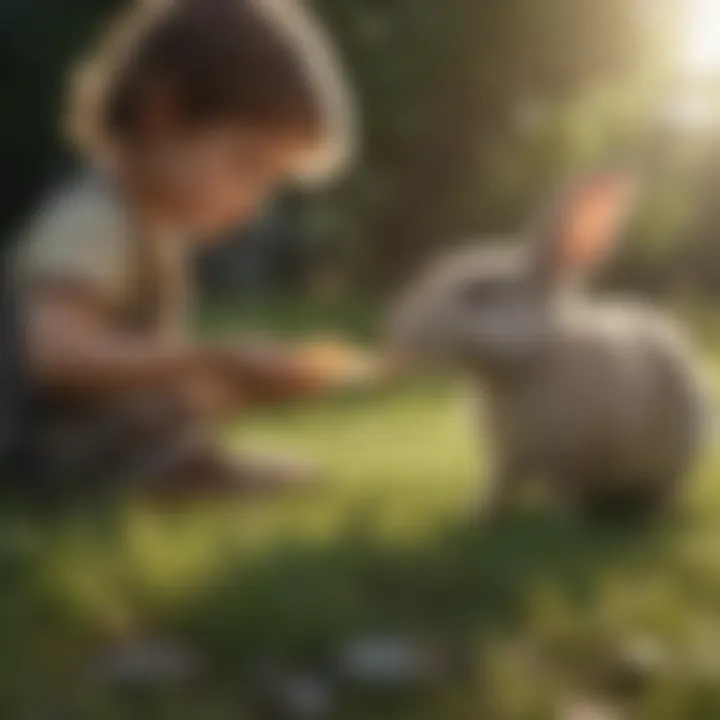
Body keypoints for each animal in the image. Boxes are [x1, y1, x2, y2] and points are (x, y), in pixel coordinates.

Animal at [390, 174, 704, 520]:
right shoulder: (505, 460)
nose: (402, 329)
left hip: (672, 460)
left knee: (663, 490)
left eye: (480, 292)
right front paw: (479, 512)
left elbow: (566, 490)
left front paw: (561, 517)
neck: (524, 368)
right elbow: (497, 487)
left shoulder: (574, 459)